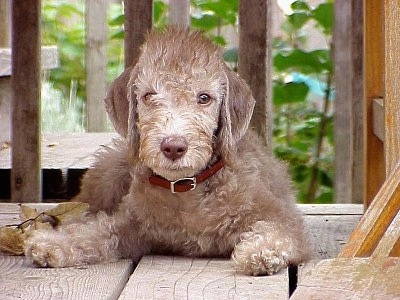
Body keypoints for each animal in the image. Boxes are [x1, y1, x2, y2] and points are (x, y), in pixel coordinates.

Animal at [24, 27, 310, 276]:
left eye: (204, 98)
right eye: (149, 95)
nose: (173, 146)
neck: (186, 188)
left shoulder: (278, 214)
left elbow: (277, 231)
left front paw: (261, 252)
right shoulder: (131, 224)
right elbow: (96, 231)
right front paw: (53, 243)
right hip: (109, 173)